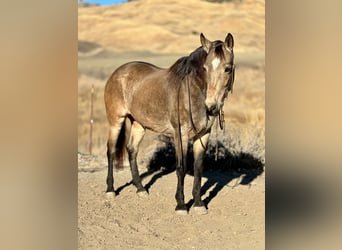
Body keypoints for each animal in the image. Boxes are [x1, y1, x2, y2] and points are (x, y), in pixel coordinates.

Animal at [103, 32, 235, 214]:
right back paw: (110, 190)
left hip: (139, 124)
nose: (211, 106)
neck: (192, 91)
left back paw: (140, 189)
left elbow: (198, 168)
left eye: (227, 69)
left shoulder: (203, 135)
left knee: (132, 150)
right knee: (111, 151)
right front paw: (181, 205)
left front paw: (198, 204)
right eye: (205, 68)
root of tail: (118, 72)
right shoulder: (180, 135)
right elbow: (181, 167)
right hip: (116, 121)